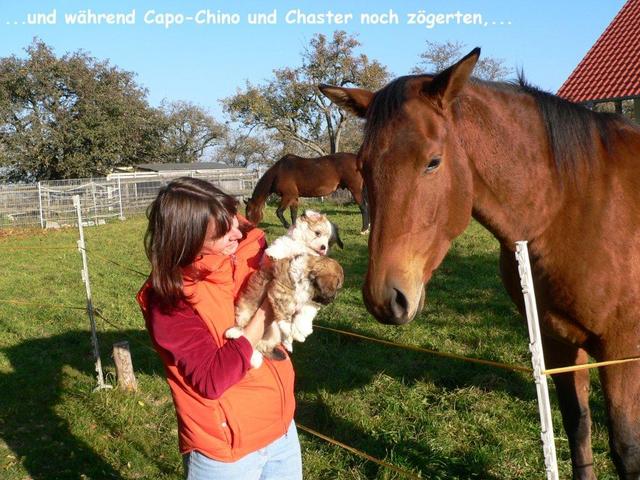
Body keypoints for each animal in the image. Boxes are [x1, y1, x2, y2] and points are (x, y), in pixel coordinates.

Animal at [226, 210, 344, 368]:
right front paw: (273, 252)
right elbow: (284, 243)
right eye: (317, 233)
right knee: (245, 327)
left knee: (263, 344)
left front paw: (300, 332)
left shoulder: (309, 301)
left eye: (329, 243)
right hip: (245, 310)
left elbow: (305, 314)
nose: (323, 248)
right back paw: (236, 335)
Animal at [320, 49, 640, 479]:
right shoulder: (558, 342)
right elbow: (578, 429)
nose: (384, 298)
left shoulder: (620, 351)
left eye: (433, 162)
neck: (573, 206)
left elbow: (625, 449)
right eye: (363, 166)